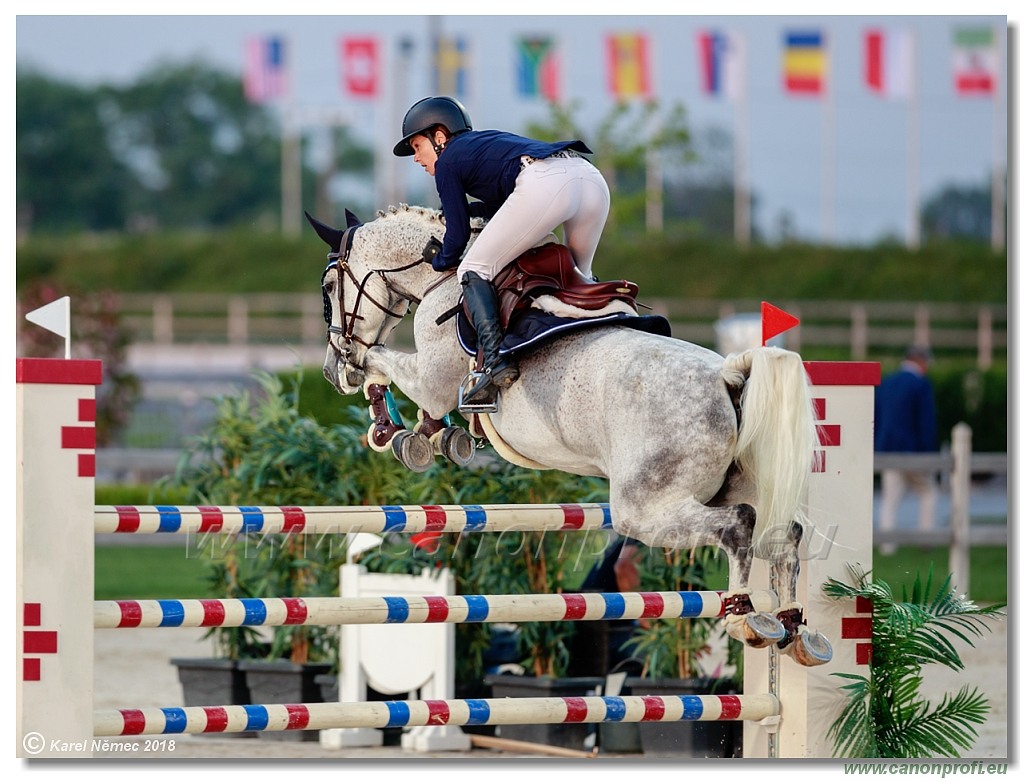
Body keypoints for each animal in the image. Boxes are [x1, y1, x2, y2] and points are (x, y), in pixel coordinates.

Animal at [309, 202, 831, 667]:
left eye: (330, 285)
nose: (331, 370)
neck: (443, 274)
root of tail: (727, 374)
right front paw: (430, 436)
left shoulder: (430, 380)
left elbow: (380, 361)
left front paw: (393, 427)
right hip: (739, 488)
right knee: (785, 533)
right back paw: (793, 627)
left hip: (645, 508)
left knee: (738, 525)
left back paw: (745, 618)